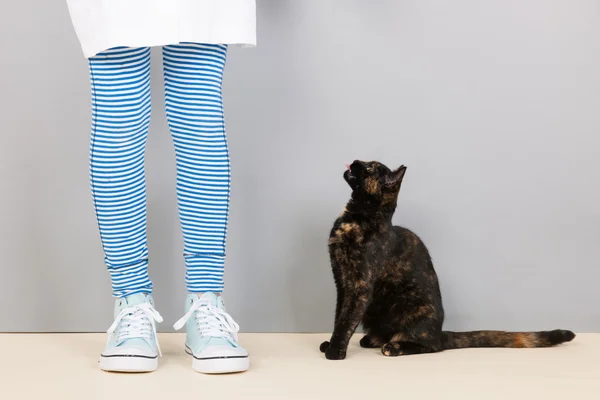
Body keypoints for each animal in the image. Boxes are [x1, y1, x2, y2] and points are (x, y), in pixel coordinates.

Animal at [318, 161, 576, 360]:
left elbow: (347, 319)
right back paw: (372, 339)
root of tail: (440, 332)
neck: (356, 217)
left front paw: (335, 350)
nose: (354, 161)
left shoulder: (359, 286)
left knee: (430, 346)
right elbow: (339, 315)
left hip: (410, 310)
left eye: (369, 167)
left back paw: (394, 346)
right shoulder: (341, 282)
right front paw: (330, 343)